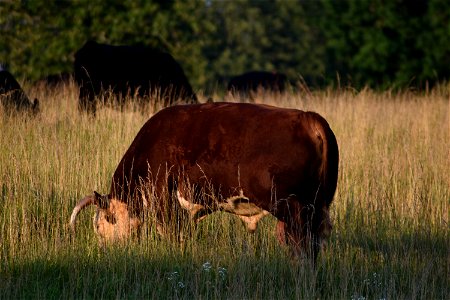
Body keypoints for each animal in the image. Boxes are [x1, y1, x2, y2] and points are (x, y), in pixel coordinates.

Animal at [70, 102, 338, 262]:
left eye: (102, 223)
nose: (104, 252)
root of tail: (309, 118)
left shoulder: (163, 200)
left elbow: (169, 233)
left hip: (293, 207)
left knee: (301, 245)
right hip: (318, 206)